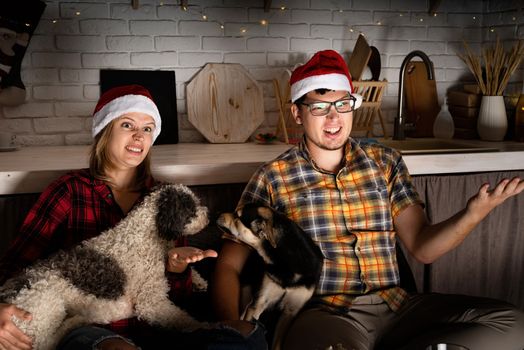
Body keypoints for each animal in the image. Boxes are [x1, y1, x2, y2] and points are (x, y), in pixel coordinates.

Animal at [217, 202, 324, 350]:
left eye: (237, 217)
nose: (218, 216)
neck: (285, 260)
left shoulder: (290, 312)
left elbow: (277, 344)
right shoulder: (259, 303)